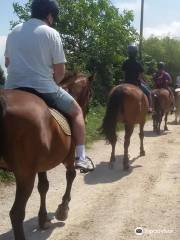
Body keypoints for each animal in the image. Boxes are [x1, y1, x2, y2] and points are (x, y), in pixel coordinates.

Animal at [0, 72, 93, 240]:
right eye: (90, 94)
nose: (86, 118)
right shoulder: (69, 157)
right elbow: (71, 176)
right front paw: (63, 209)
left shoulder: (41, 165)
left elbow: (43, 186)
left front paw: (43, 219)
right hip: (25, 175)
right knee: (16, 213)